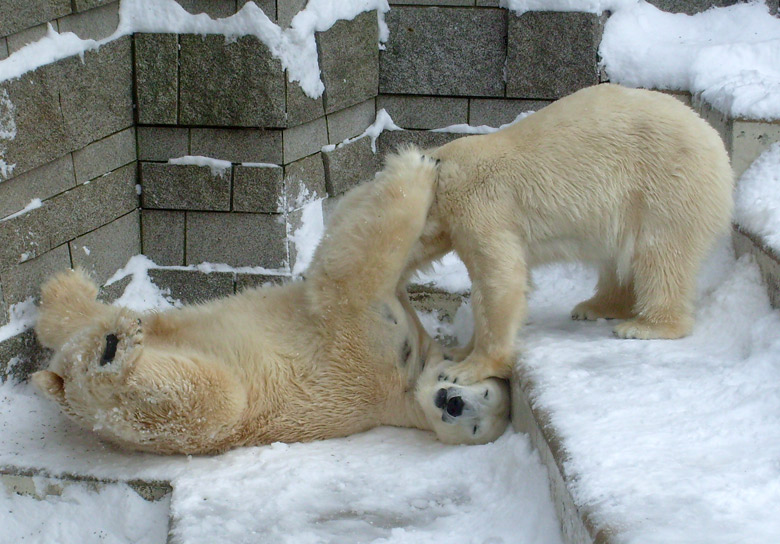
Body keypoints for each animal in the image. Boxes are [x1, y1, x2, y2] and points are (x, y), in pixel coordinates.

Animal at [33, 155, 512, 456]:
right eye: (485, 391)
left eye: (476, 424)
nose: (454, 403)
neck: (412, 383)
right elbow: (363, 239)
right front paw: (428, 166)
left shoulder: (374, 351)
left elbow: (352, 275)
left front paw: (416, 168)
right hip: (156, 328)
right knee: (93, 319)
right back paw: (66, 289)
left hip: (190, 420)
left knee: (205, 397)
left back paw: (108, 352)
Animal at [396, 83, 736, 384]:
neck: (441, 175)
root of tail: (715, 142)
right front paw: (458, 352)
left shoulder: (482, 208)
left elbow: (499, 280)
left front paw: (465, 368)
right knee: (618, 257)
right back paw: (596, 306)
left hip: (666, 186)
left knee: (660, 256)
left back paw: (645, 326)